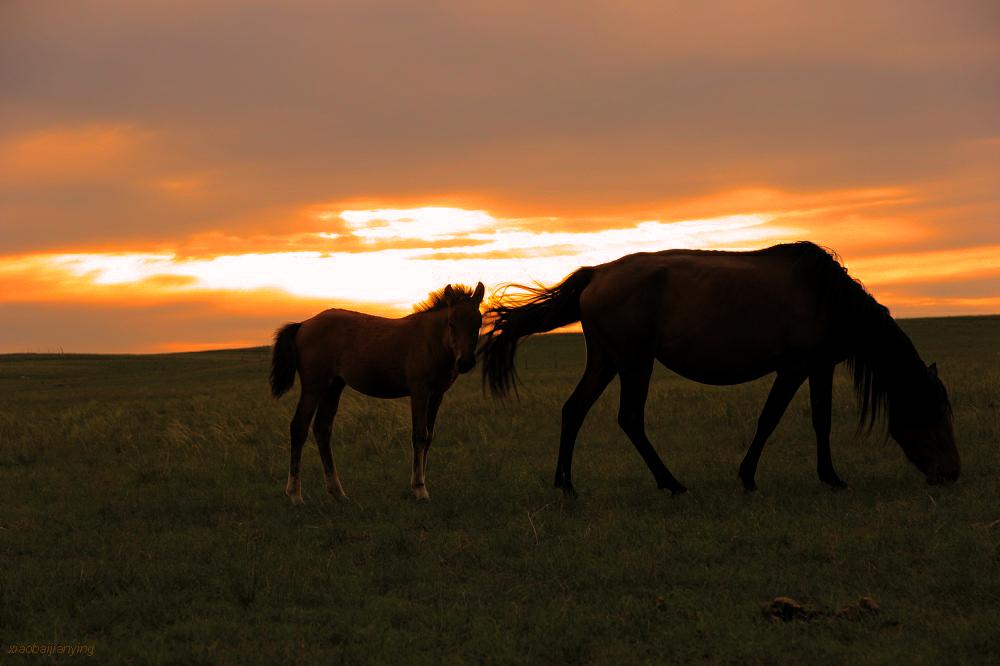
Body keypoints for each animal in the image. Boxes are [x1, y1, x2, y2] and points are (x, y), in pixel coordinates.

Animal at [268, 282, 482, 500]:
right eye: (451, 323)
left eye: (478, 323)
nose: (465, 362)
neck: (430, 340)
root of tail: (303, 324)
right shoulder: (419, 391)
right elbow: (419, 435)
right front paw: (419, 489)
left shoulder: (437, 394)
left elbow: (429, 436)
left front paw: (420, 484)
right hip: (314, 386)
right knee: (299, 427)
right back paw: (295, 494)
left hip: (333, 386)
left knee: (322, 428)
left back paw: (338, 493)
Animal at [484, 243, 960, 492]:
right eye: (934, 414)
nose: (952, 473)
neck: (827, 297)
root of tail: (596, 273)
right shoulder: (794, 368)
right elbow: (770, 420)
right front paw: (748, 477)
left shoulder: (818, 367)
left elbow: (821, 420)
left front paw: (830, 476)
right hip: (635, 362)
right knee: (630, 418)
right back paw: (670, 482)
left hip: (606, 360)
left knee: (574, 410)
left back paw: (565, 484)